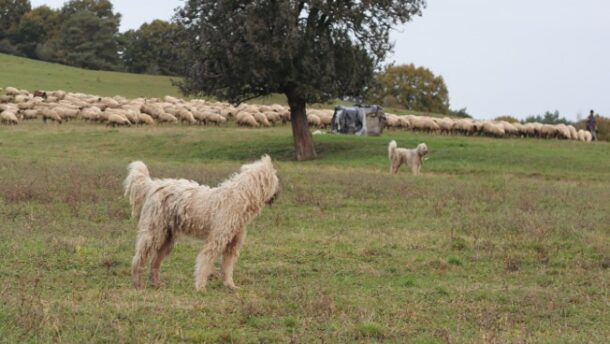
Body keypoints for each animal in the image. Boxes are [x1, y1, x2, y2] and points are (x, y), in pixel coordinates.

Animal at [124, 155, 280, 290]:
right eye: (276, 180)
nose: (278, 193)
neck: (240, 197)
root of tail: (154, 185)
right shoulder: (215, 240)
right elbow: (204, 262)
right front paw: (200, 286)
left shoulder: (232, 244)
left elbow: (227, 267)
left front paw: (230, 285)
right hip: (153, 233)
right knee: (138, 259)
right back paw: (137, 284)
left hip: (167, 238)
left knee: (155, 262)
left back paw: (156, 283)